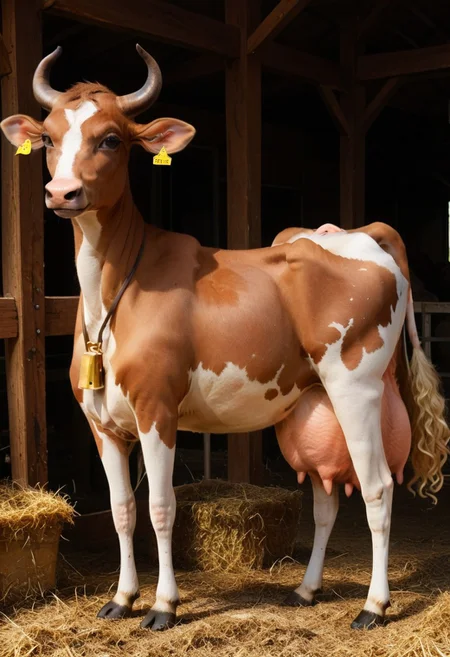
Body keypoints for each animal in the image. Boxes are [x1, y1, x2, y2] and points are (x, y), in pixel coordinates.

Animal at [2, 45, 448, 632]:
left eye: (111, 139)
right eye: (50, 138)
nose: (61, 193)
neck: (111, 295)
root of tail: (365, 232)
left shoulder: (157, 409)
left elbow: (161, 508)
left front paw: (164, 605)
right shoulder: (101, 421)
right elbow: (121, 510)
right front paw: (122, 598)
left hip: (357, 385)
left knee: (378, 489)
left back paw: (374, 605)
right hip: (318, 397)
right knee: (327, 499)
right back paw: (306, 588)